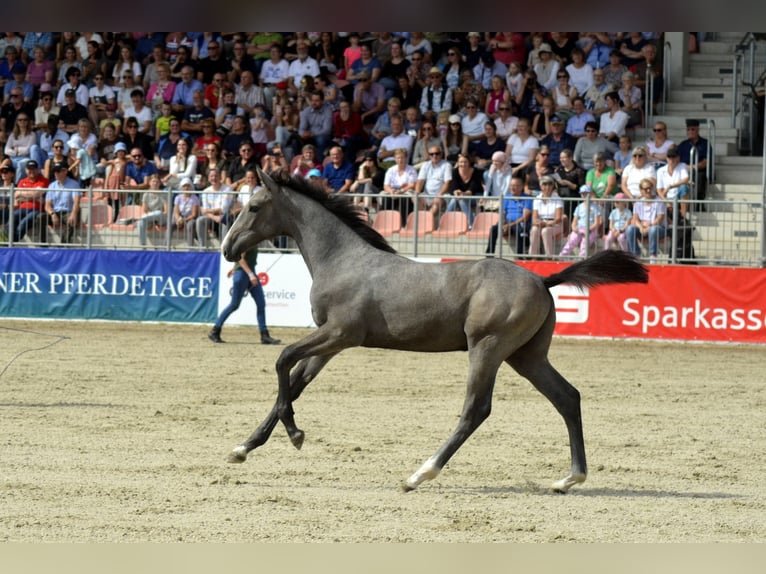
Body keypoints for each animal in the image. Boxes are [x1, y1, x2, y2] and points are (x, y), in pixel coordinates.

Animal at [220, 168, 648, 496]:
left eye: (254, 207)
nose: (227, 249)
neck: (341, 260)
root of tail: (543, 279)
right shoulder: (330, 344)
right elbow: (294, 382)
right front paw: (243, 448)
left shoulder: (341, 334)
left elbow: (282, 361)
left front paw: (294, 435)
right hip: (526, 356)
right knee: (567, 397)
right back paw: (569, 479)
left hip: (488, 348)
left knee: (476, 409)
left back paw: (419, 474)